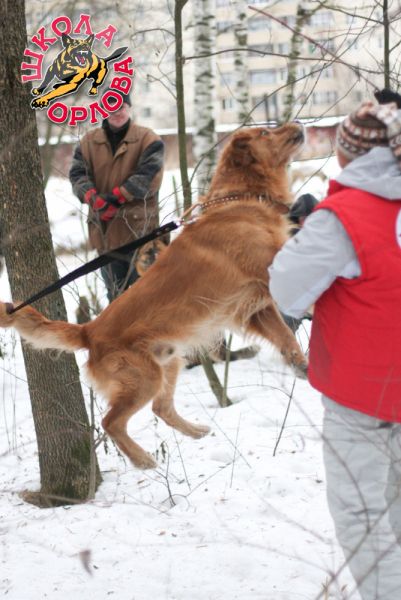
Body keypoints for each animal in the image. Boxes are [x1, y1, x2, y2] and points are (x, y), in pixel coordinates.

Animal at [0, 123, 308, 469]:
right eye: (267, 133)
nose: (298, 125)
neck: (238, 201)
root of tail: (89, 330)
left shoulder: (254, 307)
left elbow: (285, 337)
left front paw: (302, 366)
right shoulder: (271, 274)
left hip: (168, 363)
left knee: (161, 408)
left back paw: (195, 431)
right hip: (144, 379)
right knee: (111, 421)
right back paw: (142, 459)